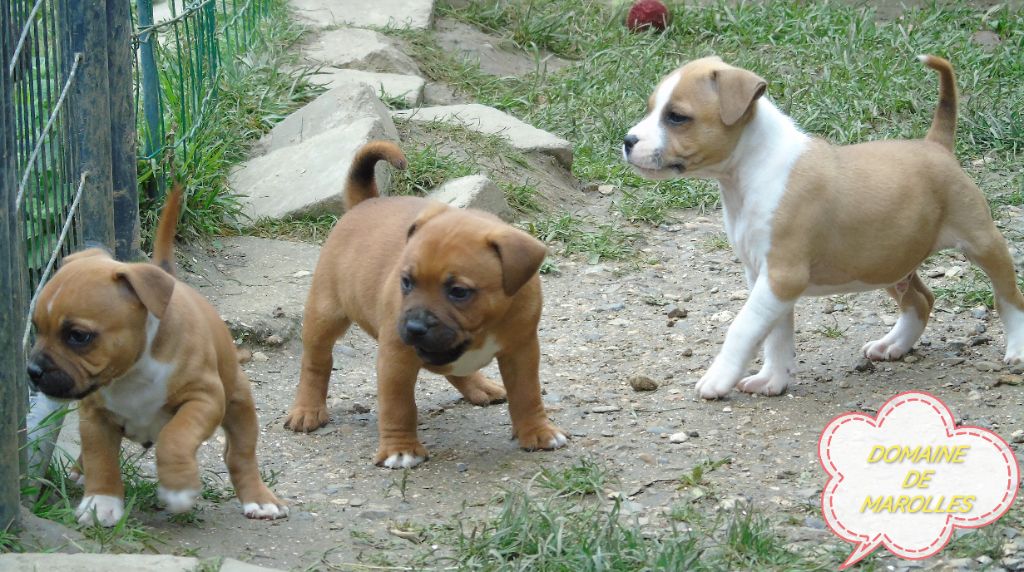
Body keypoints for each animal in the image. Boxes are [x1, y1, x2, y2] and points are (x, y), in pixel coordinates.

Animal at [29, 184, 284, 528]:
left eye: (78, 336)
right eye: (36, 328)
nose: (33, 370)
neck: (132, 373)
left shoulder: (203, 399)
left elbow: (175, 438)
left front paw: (178, 487)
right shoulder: (94, 416)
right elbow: (100, 457)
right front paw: (101, 502)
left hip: (239, 402)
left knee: (240, 455)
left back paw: (259, 499)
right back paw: (79, 471)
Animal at [282, 141, 569, 468]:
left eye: (458, 292)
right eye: (406, 282)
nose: (414, 326)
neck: (483, 329)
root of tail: (365, 203)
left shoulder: (522, 350)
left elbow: (527, 394)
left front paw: (537, 431)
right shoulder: (396, 358)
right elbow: (398, 406)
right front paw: (400, 449)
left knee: (455, 370)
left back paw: (480, 387)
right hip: (324, 314)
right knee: (316, 363)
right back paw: (307, 410)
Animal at [618, 56, 1024, 401]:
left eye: (677, 117)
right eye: (652, 109)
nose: (627, 141)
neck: (749, 171)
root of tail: (936, 145)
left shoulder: (782, 276)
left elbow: (744, 327)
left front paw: (718, 379)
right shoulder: (764, 278)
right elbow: (775, 334)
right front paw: (773, 380)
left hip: (983, 241)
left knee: (1008, 298)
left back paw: (1016, 349)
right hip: (887, 261)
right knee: (921, 300)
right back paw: (893, 344)